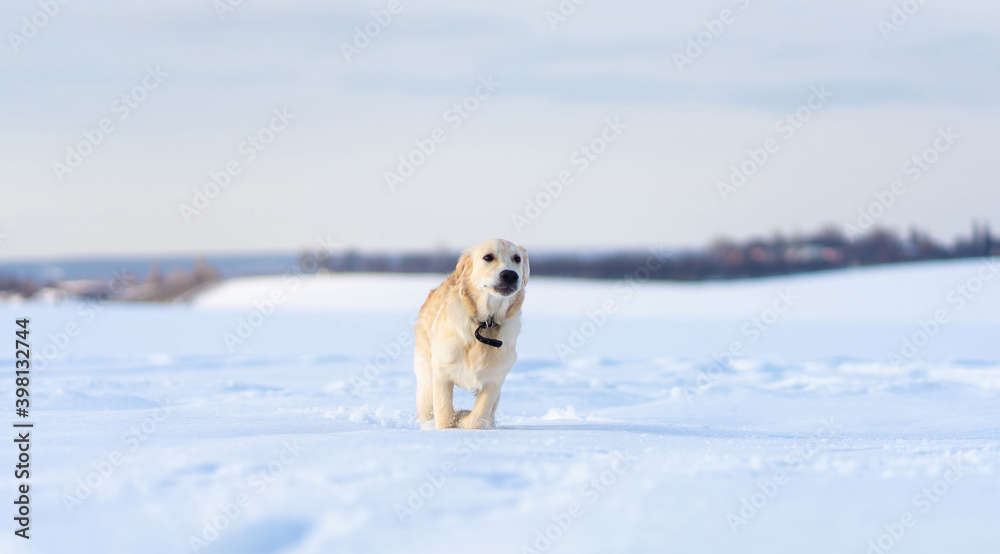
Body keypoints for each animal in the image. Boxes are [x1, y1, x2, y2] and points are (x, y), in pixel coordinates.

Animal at [412, 237, 528, 426]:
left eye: (517, 259)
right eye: (488, 257)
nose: (510, 275)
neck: (486, 322)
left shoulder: (495, 377)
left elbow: (479, 415)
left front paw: (465, 421)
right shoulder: (441, 371)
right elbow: (444, 412)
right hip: (425, 380)